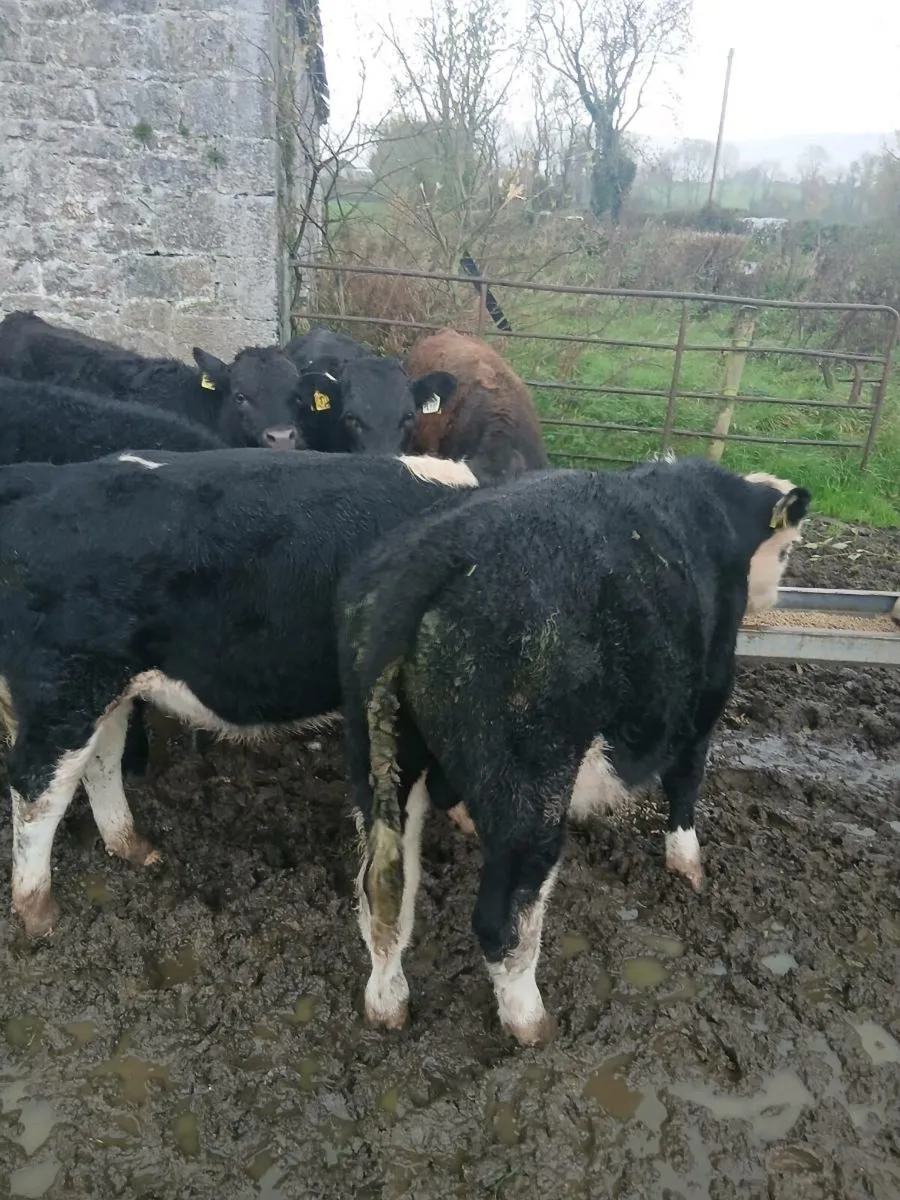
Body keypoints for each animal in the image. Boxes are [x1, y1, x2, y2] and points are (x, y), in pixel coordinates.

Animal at [0, 448, 480, 939]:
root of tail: (44, 481)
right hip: (65, 687)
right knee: (38, 788)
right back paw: (39, 912)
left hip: (105, 688)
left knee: (99, 761)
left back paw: (133, 846)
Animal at [335, 457, 811, 1046]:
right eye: (787, 551)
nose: (778, 596)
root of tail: (428, 560)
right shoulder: (704, 699)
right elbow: (686, 782)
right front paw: (687, 865)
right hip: (531, 790)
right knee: (501, 920)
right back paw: (530, 1020)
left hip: (379, 763)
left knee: (383, 897)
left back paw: (387, 1003)